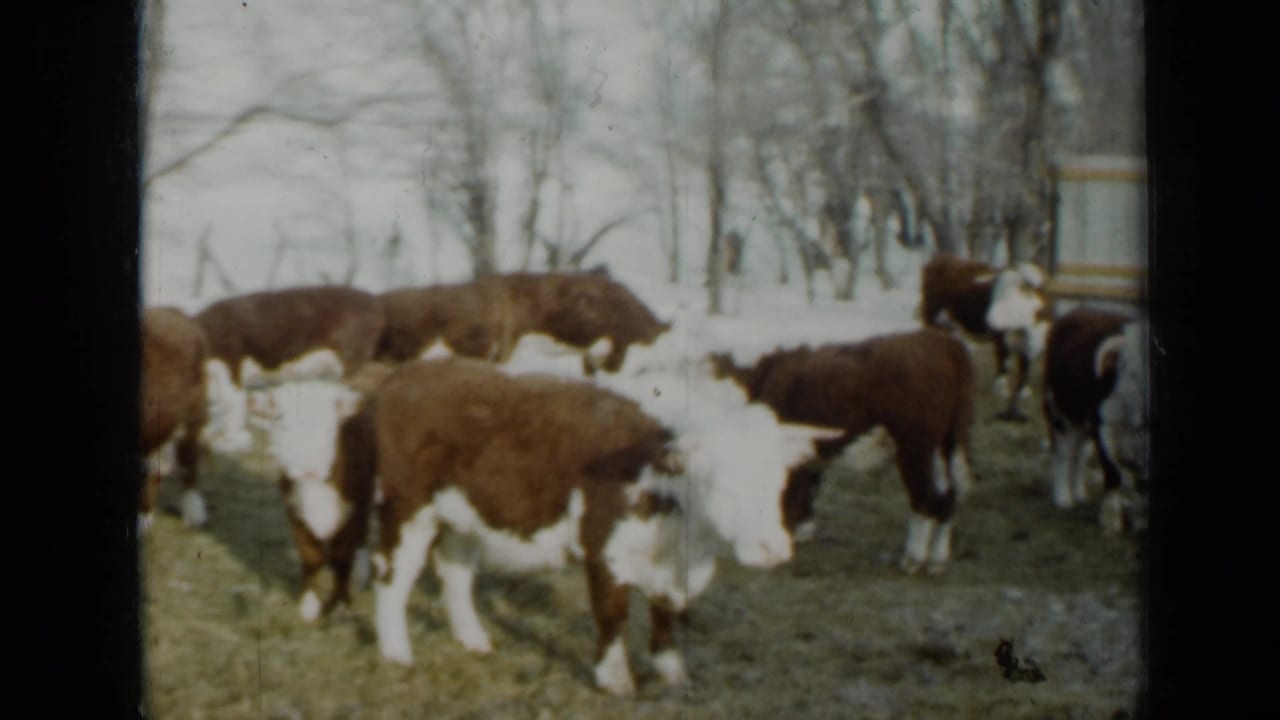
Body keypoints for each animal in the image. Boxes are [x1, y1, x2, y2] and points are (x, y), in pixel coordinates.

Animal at [366, 357, 833, 696]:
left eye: (779, 480)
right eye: (720, 482)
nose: (774, 549)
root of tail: (407, 374)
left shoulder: (677, 570)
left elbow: (667, 612)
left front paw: (672, 672)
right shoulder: (605, 547)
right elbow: (613, 613)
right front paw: (616, 680)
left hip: (463, 514)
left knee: (455, 571)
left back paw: (473, 638)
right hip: (406, 506)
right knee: (393, 572)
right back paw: (395, 650)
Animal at [709, 329, 977, 576]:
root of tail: (944, 342)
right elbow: (808, 485)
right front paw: (802, 528)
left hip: (916, 447)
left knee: (926, 498)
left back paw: (913, 559)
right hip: (948, 442)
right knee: (948, 497)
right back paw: (937, 560)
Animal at [919, 253, 1051, 421]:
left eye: (1011, 297)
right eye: (993, 295)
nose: (989, 320)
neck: (1023, 329)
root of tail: (944, 258)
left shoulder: (1030, 345)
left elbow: (1025, 368)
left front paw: (1023, 393)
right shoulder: (1000, 339)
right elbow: (1004, 363)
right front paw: (1001, 391)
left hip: (951, 327)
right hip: (931, 316)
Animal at [1042, 307, 1150, 534]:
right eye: (1132, 373)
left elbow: (1143, 483)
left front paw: (1141, 521)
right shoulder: (1104, 430)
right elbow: (1113, 474)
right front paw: (1111, 523)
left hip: (1083, 423)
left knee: (1080, 455)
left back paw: (1079, 493)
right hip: (1060, 414)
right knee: (1063, 453)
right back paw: (1063, 497)